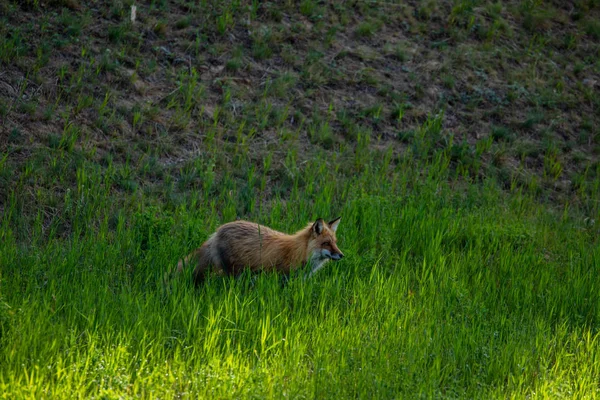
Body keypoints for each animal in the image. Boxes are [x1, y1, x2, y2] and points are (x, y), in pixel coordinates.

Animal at [178, 217, 344, 286]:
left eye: (335, 243)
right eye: (326, 243)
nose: (342, 255)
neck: (299, 252)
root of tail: (217, 231)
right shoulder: (282, 278)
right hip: (235, 273)